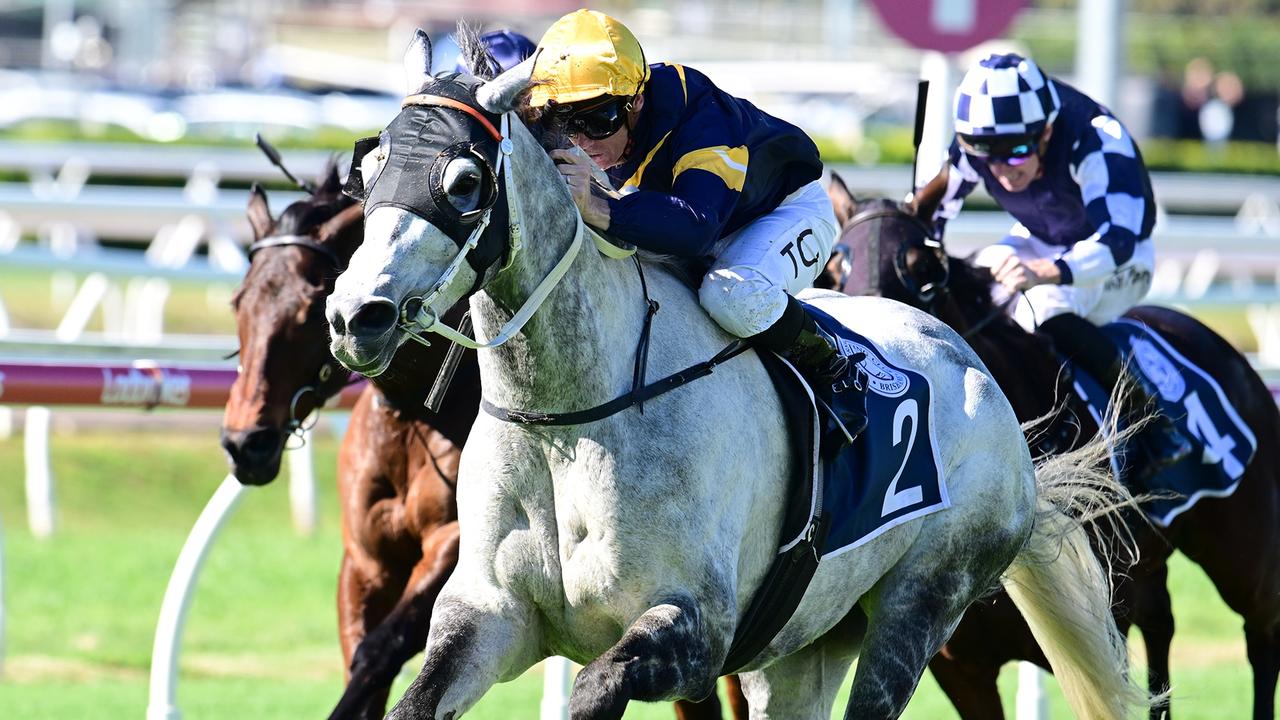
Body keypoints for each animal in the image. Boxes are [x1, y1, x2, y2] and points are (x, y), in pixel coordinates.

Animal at [216, 162, 747, 717]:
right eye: (239, 302)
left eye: (305, 309)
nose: (245, 442)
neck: (417, 416)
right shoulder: (366, 560)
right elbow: (363, 653)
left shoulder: (454, 548)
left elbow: (377, 652)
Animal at [824, 174, 1274, 717]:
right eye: (836, 266)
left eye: (922, 269)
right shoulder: (960, 665)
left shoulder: (1095, 631)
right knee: (1164, 630)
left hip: (1244, 554)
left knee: (1262, 638)